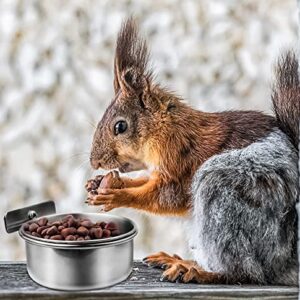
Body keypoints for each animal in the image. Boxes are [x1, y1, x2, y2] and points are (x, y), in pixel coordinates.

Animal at [85, 17, 298, 284]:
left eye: (120, 126)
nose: (95, 162)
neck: (165, 128)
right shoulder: (157, 170)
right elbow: (144, 181)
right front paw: (101, 184)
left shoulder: (181, 160)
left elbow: (167, 197)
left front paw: (116, 196)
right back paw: (179, 261)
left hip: (224, 192)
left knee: (245, 273)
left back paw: (198, 272)